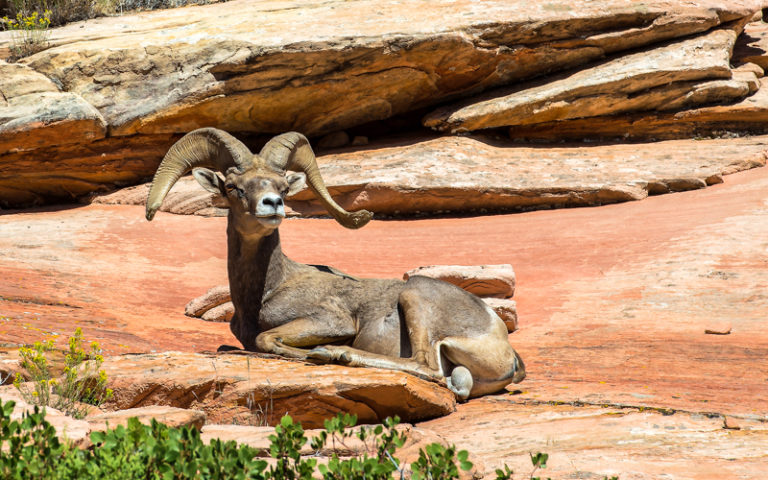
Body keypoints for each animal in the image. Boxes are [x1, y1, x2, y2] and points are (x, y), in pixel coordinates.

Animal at [146, 128, 524, 402]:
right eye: (233, 187)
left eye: (283, 186)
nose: (273, 204)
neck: (268, 288)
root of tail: (500, 341)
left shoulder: (331, 321)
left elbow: (266, 339)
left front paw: (313, 353)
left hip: (414, 295)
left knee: (425, 366)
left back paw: (335, 354)